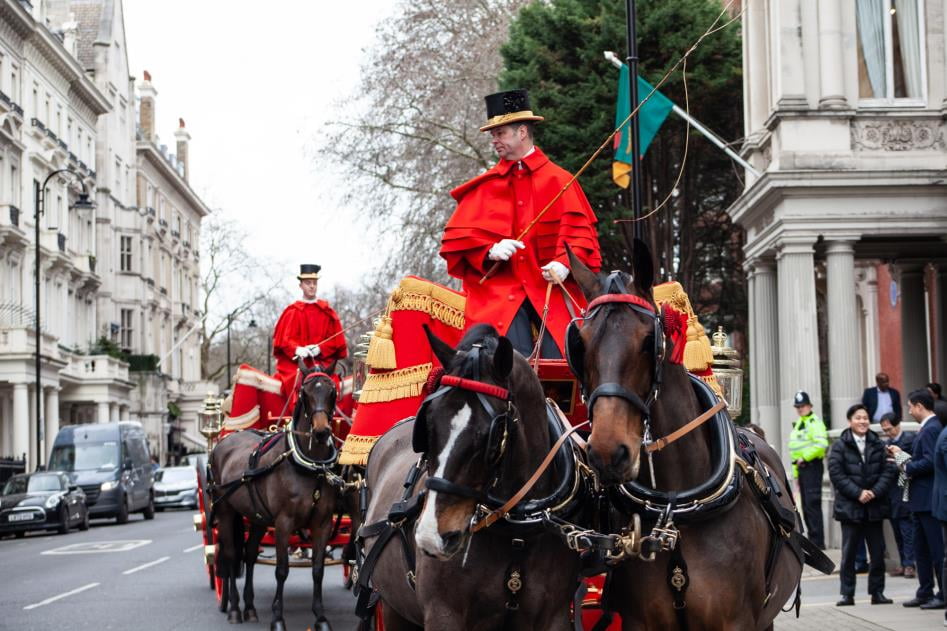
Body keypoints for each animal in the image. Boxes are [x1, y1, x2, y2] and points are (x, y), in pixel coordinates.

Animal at [209, 360, 342, 631]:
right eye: (304, 392)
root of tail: (224, 442)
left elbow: (318, 570)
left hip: (257, 517)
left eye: (333, 391)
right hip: (227, 511)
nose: (321, 431)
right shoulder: (284, 522)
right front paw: (278, 618)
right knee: (230, 555)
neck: (309, 465)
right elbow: (281, 570)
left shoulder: (322, 522)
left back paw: (249, 607)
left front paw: (321, 617)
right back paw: (235, 608)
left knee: (249, 555)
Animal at [360, 326, 584, 631]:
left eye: (491, 434)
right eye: (428, 423)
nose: (432, 536)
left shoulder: (555, 616)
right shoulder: (443, 614)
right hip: (393, 609)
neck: (517, 531)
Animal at [564, 243, 824, 631]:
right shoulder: (640, 622)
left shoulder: (736, 622)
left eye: (649, 341)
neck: (675, 508)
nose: (608, 452)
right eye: (580, 344)